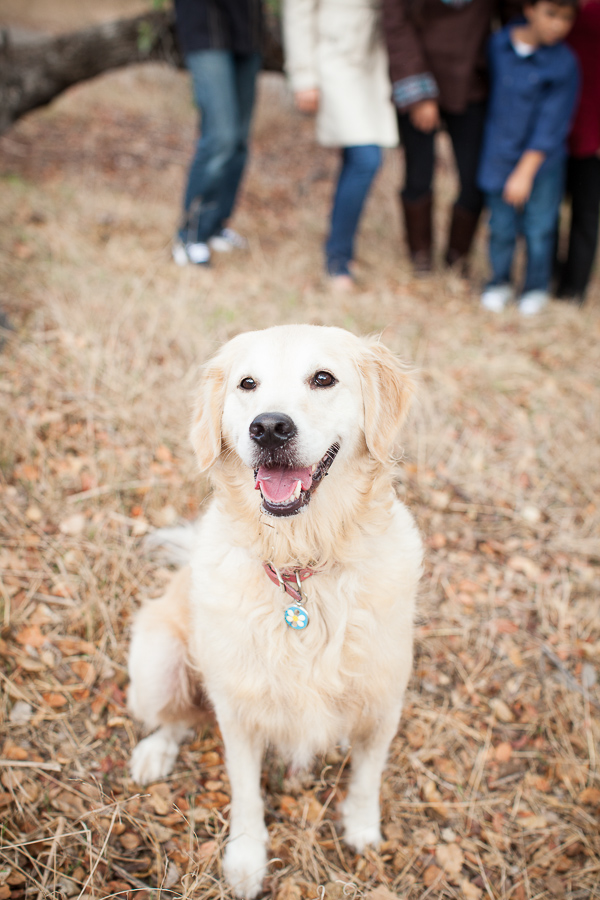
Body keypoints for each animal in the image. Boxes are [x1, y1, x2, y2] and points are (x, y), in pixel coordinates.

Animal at [129, 326, 424, 896]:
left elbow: (367, 777)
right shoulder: (238, 708)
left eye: (323, 378)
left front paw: (362, 829)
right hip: (158, 659)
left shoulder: (384, 700)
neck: (300, 565)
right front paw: (245, 860)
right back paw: (155, 751)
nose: (267, 427)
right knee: (175, 718)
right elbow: (245, 795)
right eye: (248, 384)